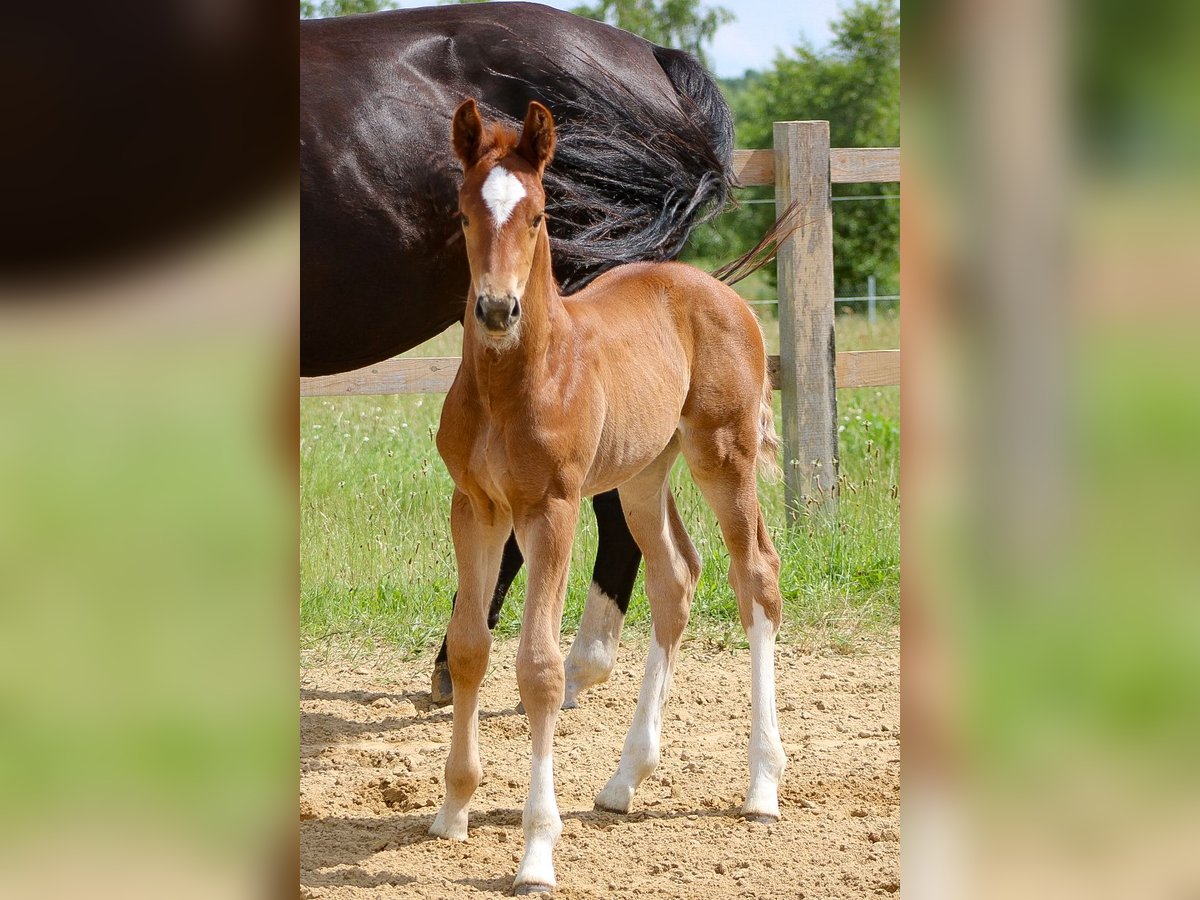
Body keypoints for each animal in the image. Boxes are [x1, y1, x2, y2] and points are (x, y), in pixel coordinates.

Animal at [432, 100, 787, 897]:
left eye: (537, 214)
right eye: (465, 212)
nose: (495, 309)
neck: (516, 381)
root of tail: (723, 294)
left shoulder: (552, 509)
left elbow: (538, 668)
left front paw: (536, 851)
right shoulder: (475, 507)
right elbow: (470, 647)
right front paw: (453, 809)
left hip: (723, 455)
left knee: (756, 576)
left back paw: (762, 786)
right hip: (642, 476)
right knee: (676, 578)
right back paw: (625, 781)